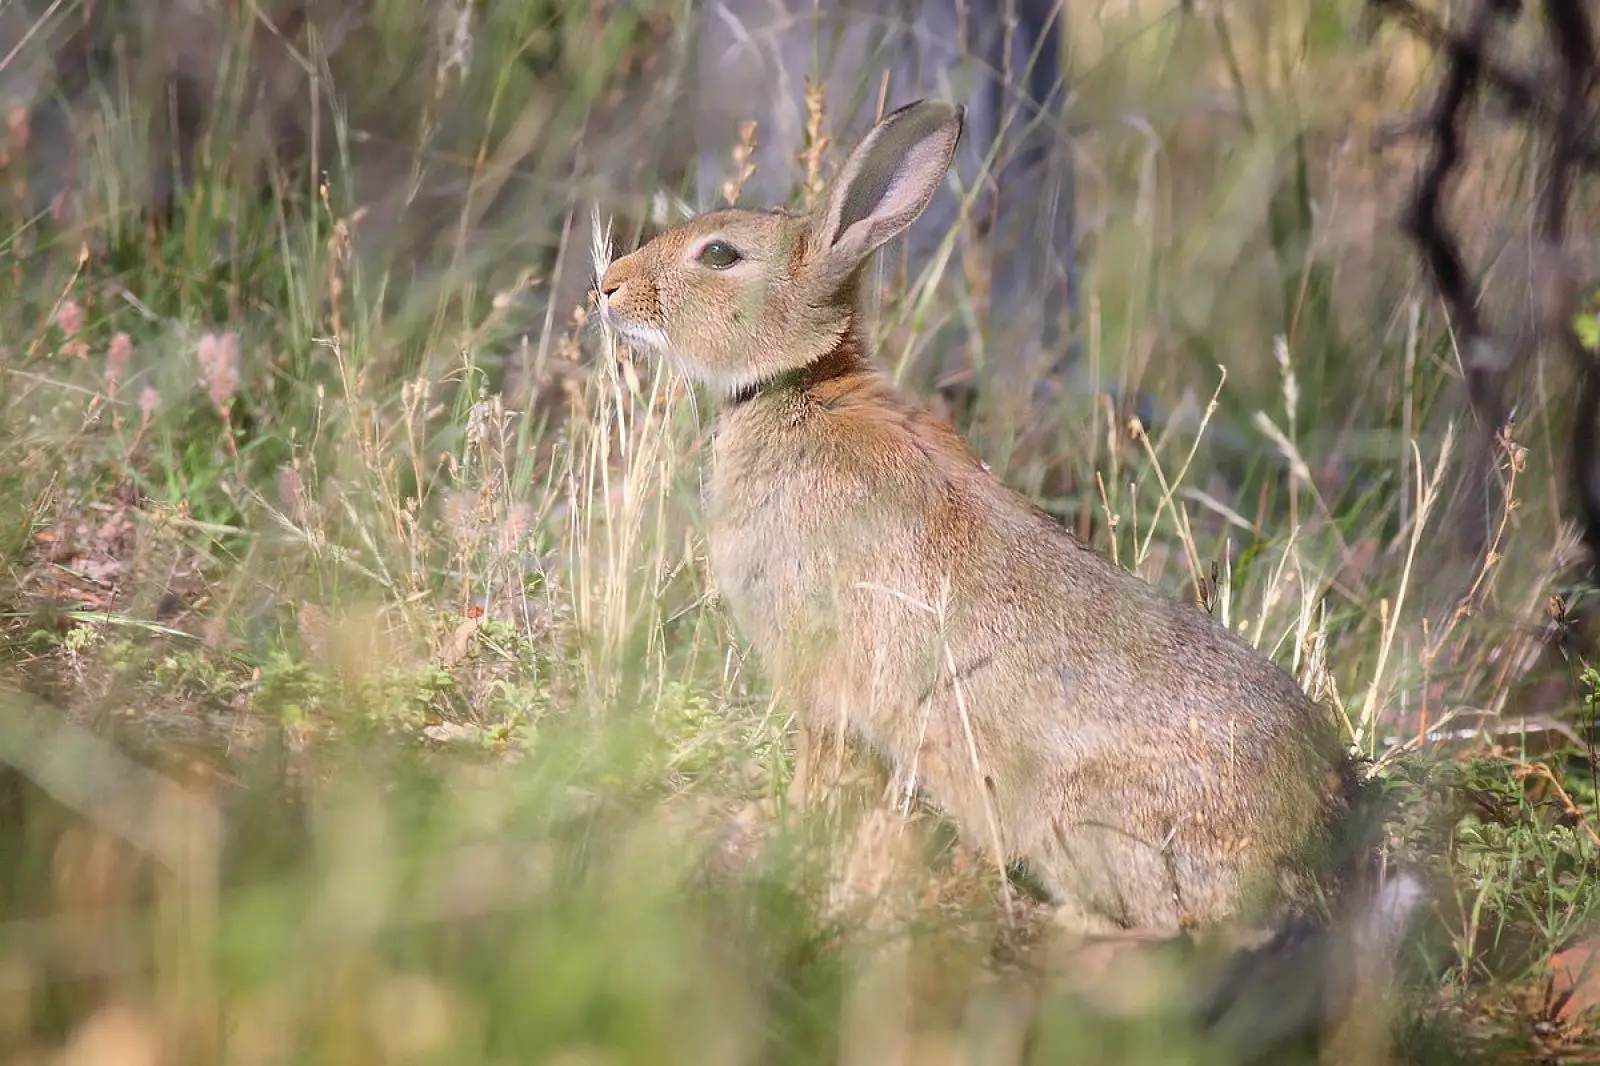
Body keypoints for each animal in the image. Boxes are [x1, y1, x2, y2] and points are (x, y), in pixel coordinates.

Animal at [597, 97, 1363, 934]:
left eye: (720, 255)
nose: (608, 285)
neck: (799, 384)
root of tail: (1311, 843)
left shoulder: (814, 666)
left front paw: (790, 836)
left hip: (1079, 822)